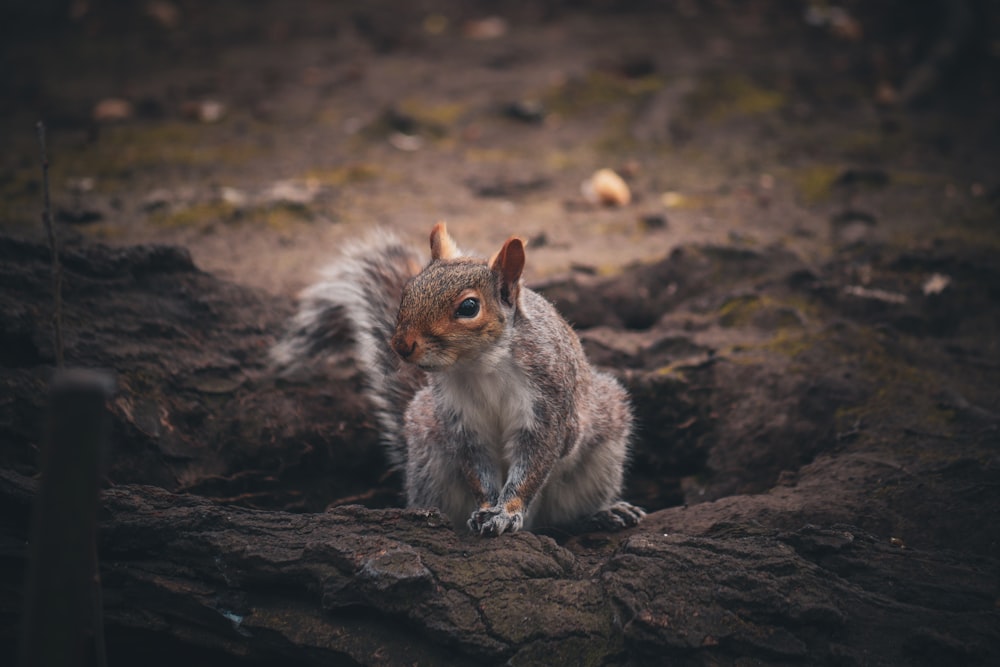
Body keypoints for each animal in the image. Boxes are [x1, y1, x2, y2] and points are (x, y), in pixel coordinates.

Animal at [274, 224, 644, 536]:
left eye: (468, 307)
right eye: (408, 291)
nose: (401, 345)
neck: (480, 365)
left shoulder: (548, 406)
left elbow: (534, 463)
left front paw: (506, 511)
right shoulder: (460, 420)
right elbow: (476, 466)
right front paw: (488, 508)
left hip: (601, 453)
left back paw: (605, 512)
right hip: (430, 462)